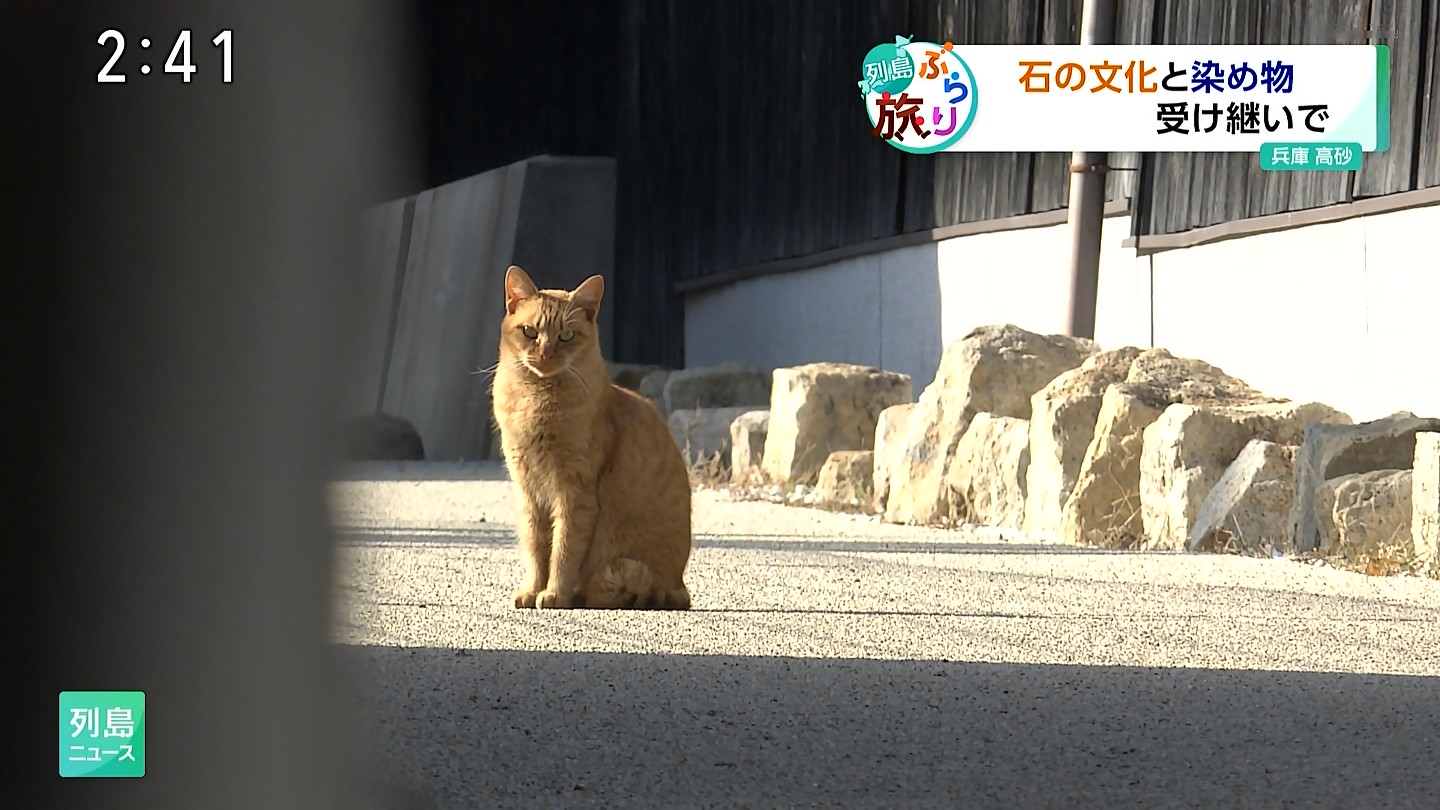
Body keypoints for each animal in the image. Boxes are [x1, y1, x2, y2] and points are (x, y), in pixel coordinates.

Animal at [491, 265, 693, 610]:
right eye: (530, 332)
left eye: (567, 336)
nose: (546, 353)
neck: (536, 399)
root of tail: (679, 586)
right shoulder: (529, 491)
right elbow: (536, 549)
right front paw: (532, 590)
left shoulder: (575, 493)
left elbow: (563, 551)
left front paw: (554, 594)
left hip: (627, 568)